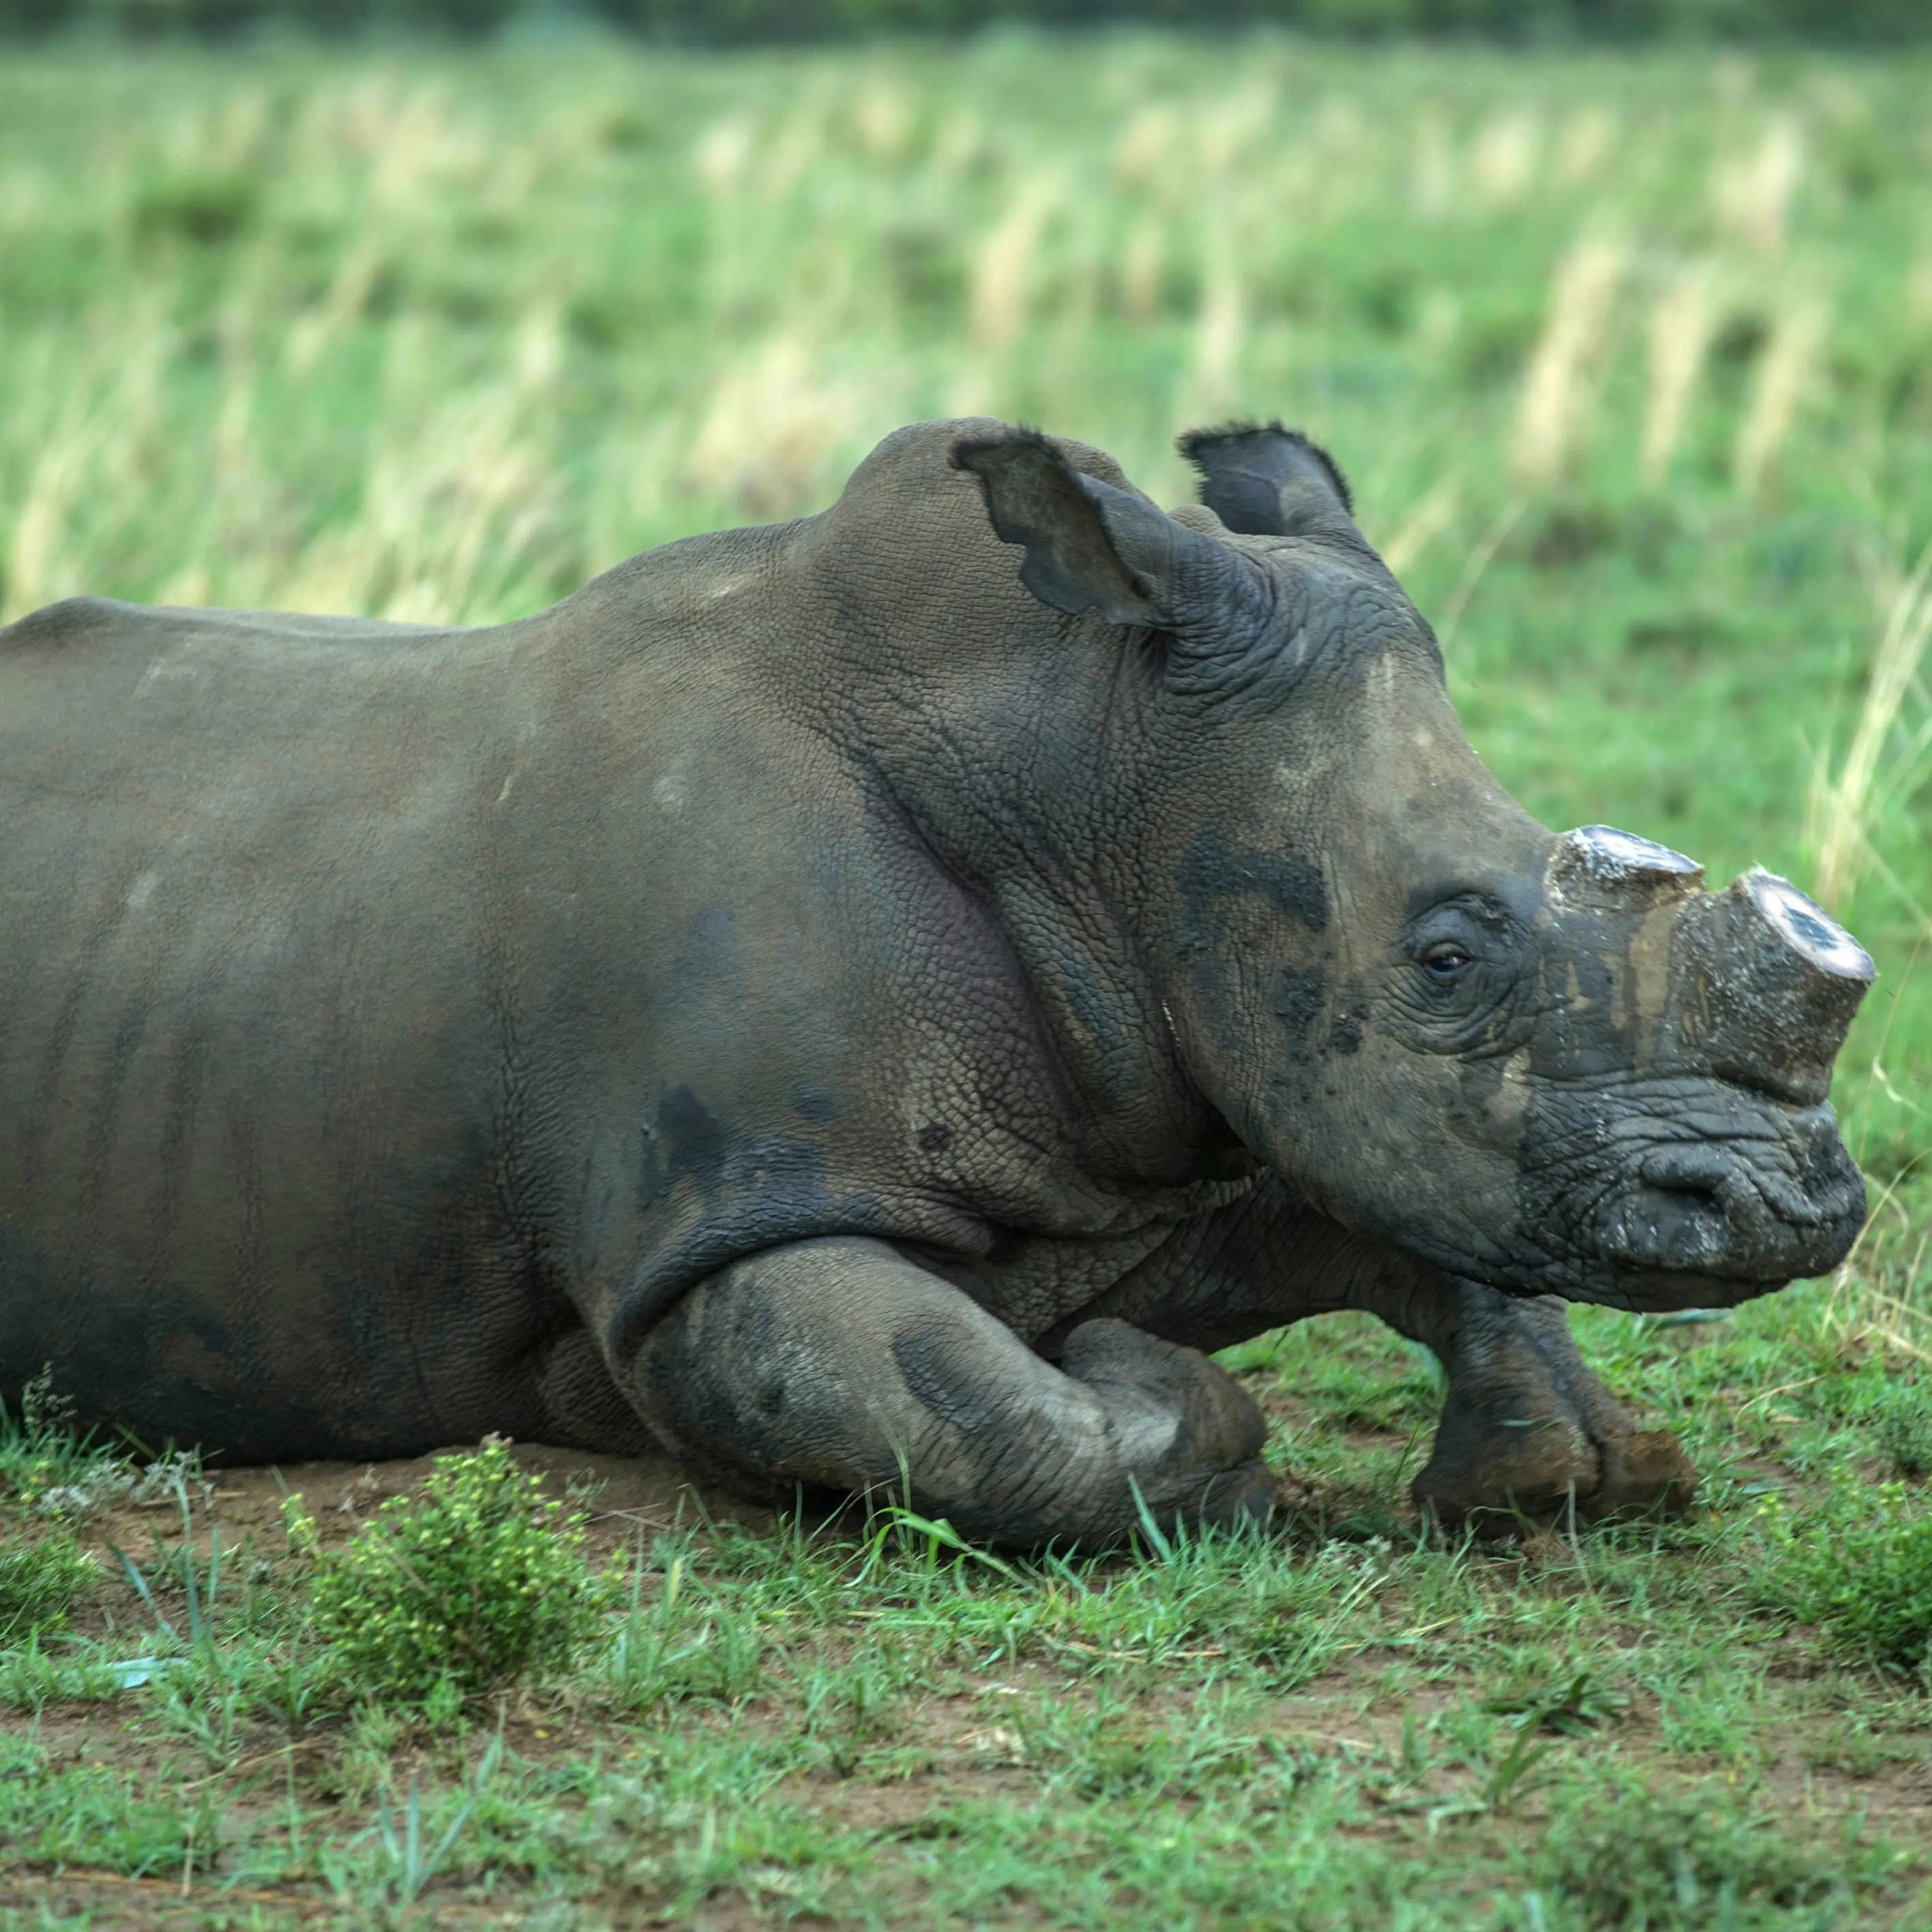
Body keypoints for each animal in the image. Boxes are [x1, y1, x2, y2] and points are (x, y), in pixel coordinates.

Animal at [0, 419, 1872, 1543]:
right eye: (1445, 958)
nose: (1794, 1209)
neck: (1098, 777)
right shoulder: (725, 1226)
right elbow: (1001, 1423)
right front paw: (1172, 1404)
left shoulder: (1158, 1116)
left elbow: (1407, 1219)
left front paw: (1570, 1470)